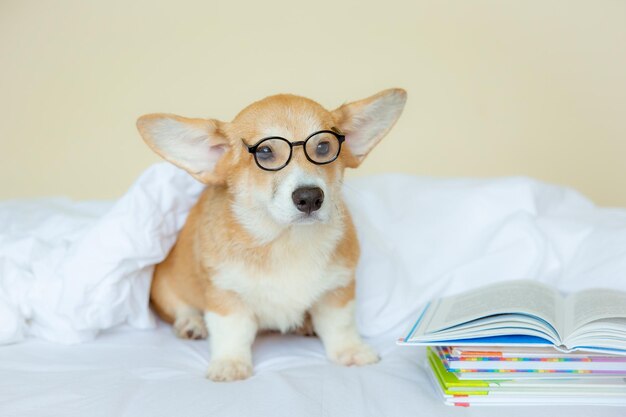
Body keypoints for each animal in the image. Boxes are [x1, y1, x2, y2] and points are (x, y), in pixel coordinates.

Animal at [136, 88, 404, 380]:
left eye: (324, 147)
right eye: (265, 152)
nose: (310, 198)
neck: (286, 238)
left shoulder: (338, 289)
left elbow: (340, 324)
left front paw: (351, 351)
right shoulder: (225, 294)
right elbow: (232, 331)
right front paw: (230, 364)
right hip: (165, 288)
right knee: (181, 308)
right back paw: (191, 323)